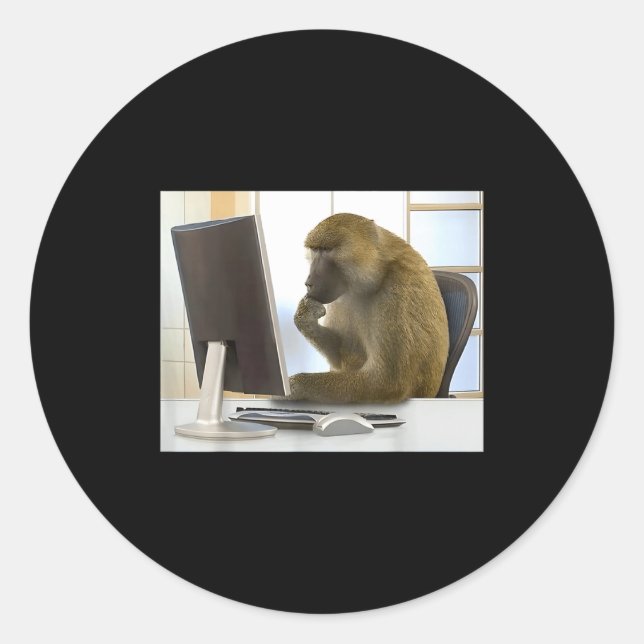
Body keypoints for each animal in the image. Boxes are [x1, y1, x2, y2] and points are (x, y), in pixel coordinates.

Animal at [288, 213, 449, 403]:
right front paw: (306, 318)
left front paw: (293, 386)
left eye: (326, 250)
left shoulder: (398, 288)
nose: (309, 283)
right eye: (315, 250)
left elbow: (386, 383)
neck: (379, 269)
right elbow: (341, 355)